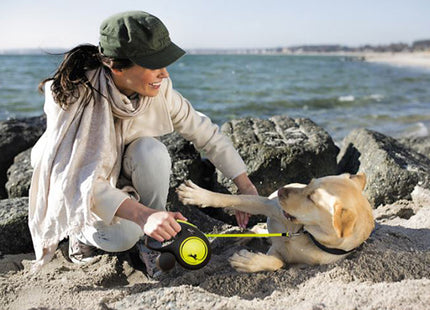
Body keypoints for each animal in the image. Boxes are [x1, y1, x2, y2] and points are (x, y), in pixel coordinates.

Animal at [176, 173, 374, 272]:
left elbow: (277, 263)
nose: (280, 190)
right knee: (259, 228)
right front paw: (198, 195)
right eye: (309, 182)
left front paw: (247, 261)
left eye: (311, 199)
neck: (304, 234)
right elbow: (232, 199)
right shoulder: (269, 205)